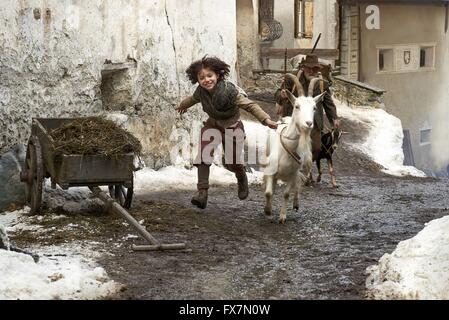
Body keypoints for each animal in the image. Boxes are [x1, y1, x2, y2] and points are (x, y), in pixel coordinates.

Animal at [262, 86, 322, 224]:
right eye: (297, 106)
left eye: (314, 107)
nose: (308, 123)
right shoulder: (271, 170)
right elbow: (268, 192)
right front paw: (268, 210)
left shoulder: (292, 174)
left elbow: (286, 194)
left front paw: (282, 217)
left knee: (298, 184)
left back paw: (296, 204)